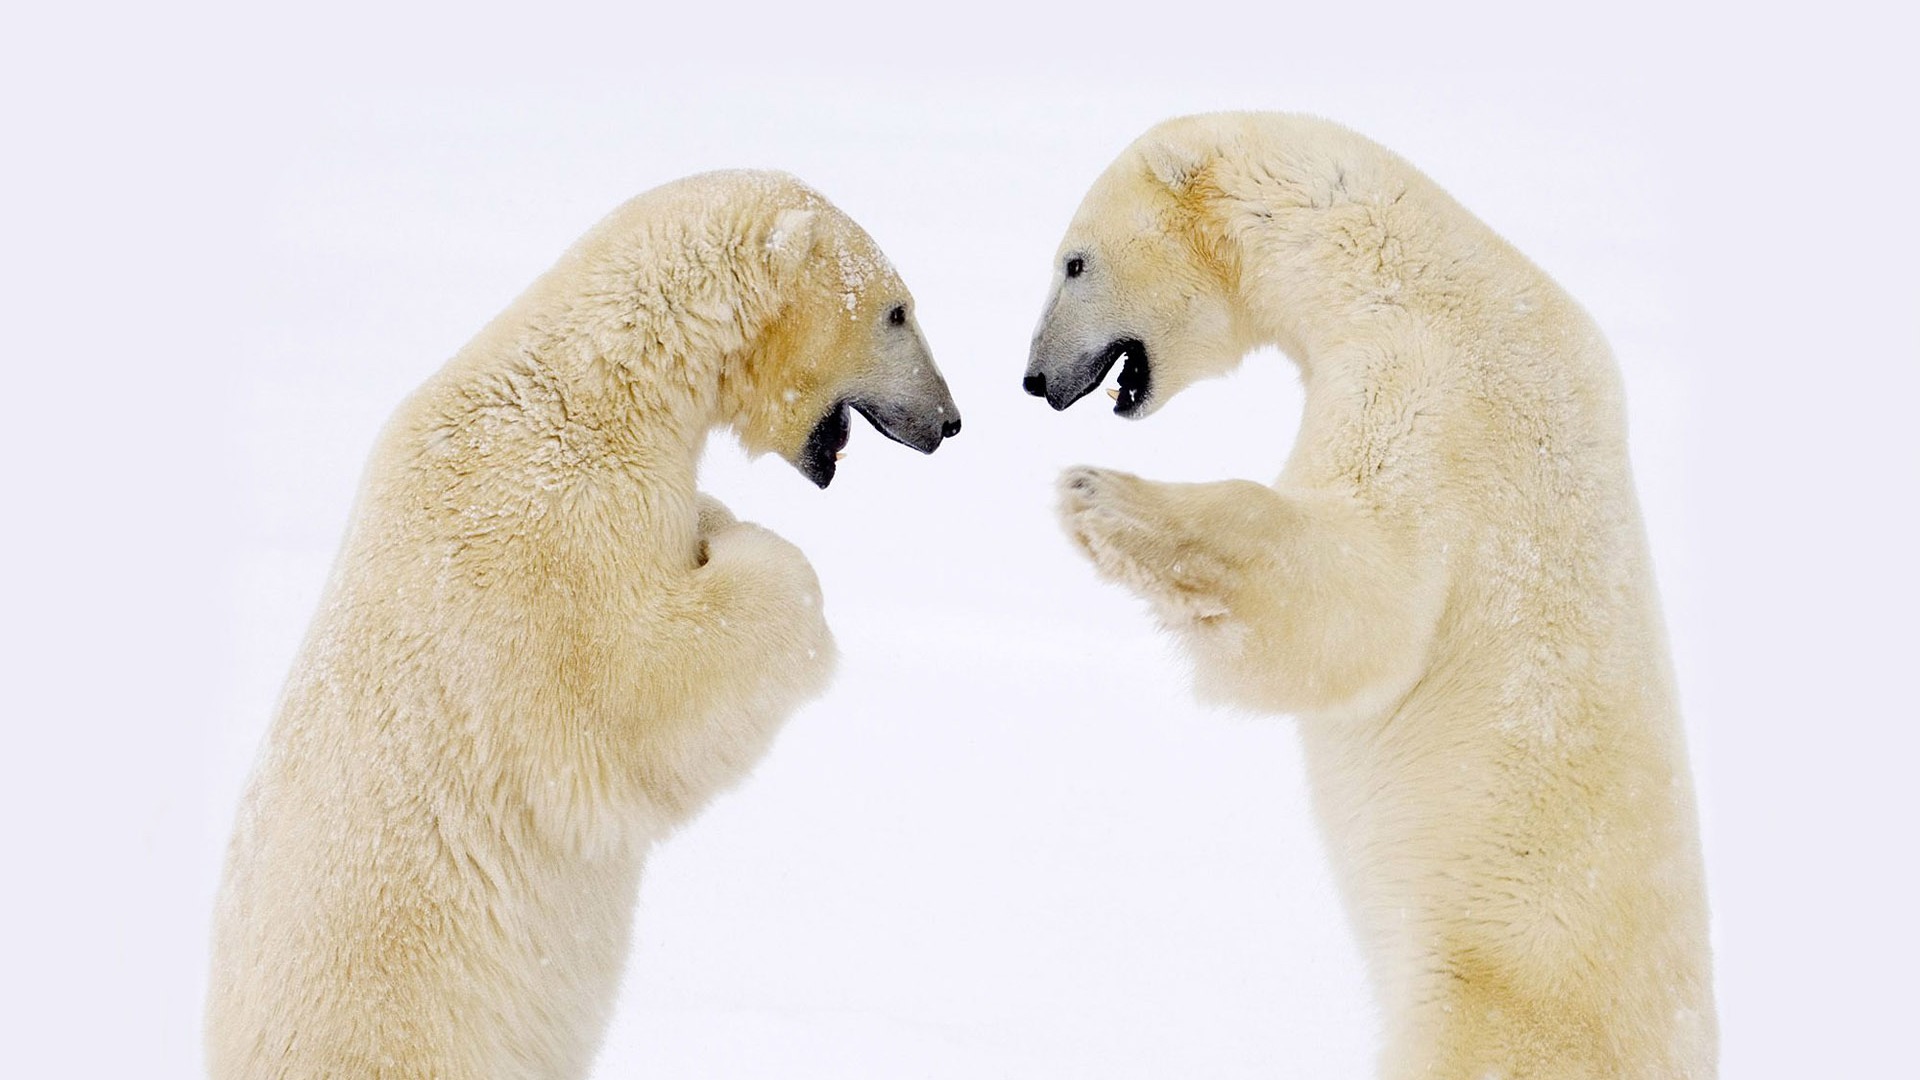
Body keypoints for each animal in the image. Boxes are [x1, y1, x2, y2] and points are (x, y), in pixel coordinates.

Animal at [210, 170, 960, 1076]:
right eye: (898, 311)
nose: (949, 421)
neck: (600, 383)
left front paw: (713, 519)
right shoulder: (552, 532)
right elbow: (635, 694)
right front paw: (746, 549)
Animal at [1029, 111, 1720, 1076]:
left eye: (1074, 262)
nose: (1034, 379)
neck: (1405, 268)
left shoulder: (1434, 390)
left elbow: (1365, 601)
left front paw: (1102, 497)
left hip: (1488, 1006)